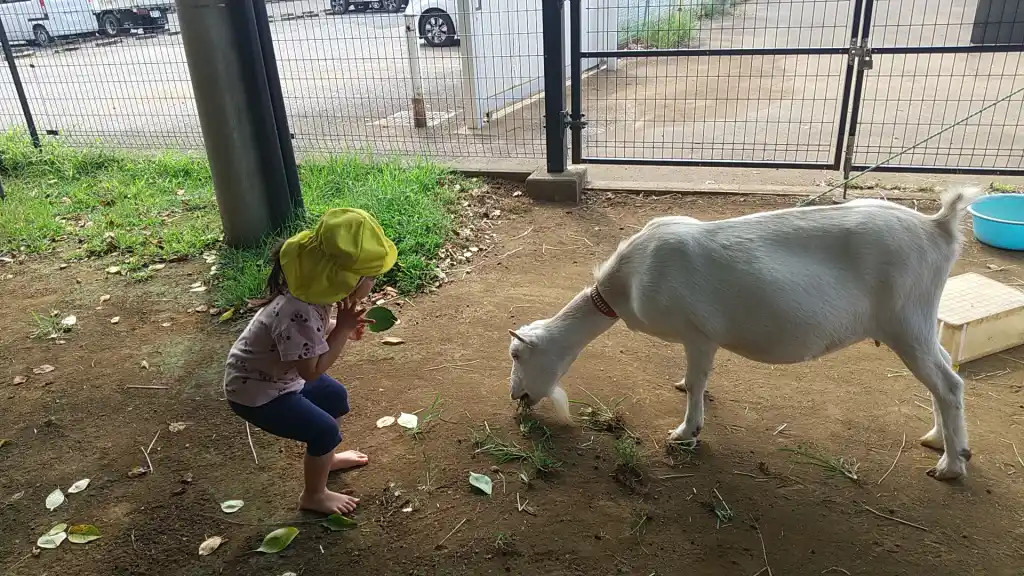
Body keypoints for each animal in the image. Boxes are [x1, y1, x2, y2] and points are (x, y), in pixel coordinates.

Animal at [507, 189, 978, 479]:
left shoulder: (697, 332)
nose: (517, 398)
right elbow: (695, 379)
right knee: (944, 377)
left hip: (906, 321)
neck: (627, 282)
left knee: (948, 384)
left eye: (516, 354)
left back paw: (951, 466)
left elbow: (698, 380)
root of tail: (939, 227)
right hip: (920, 322)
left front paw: (686, 432)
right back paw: (940, 440)